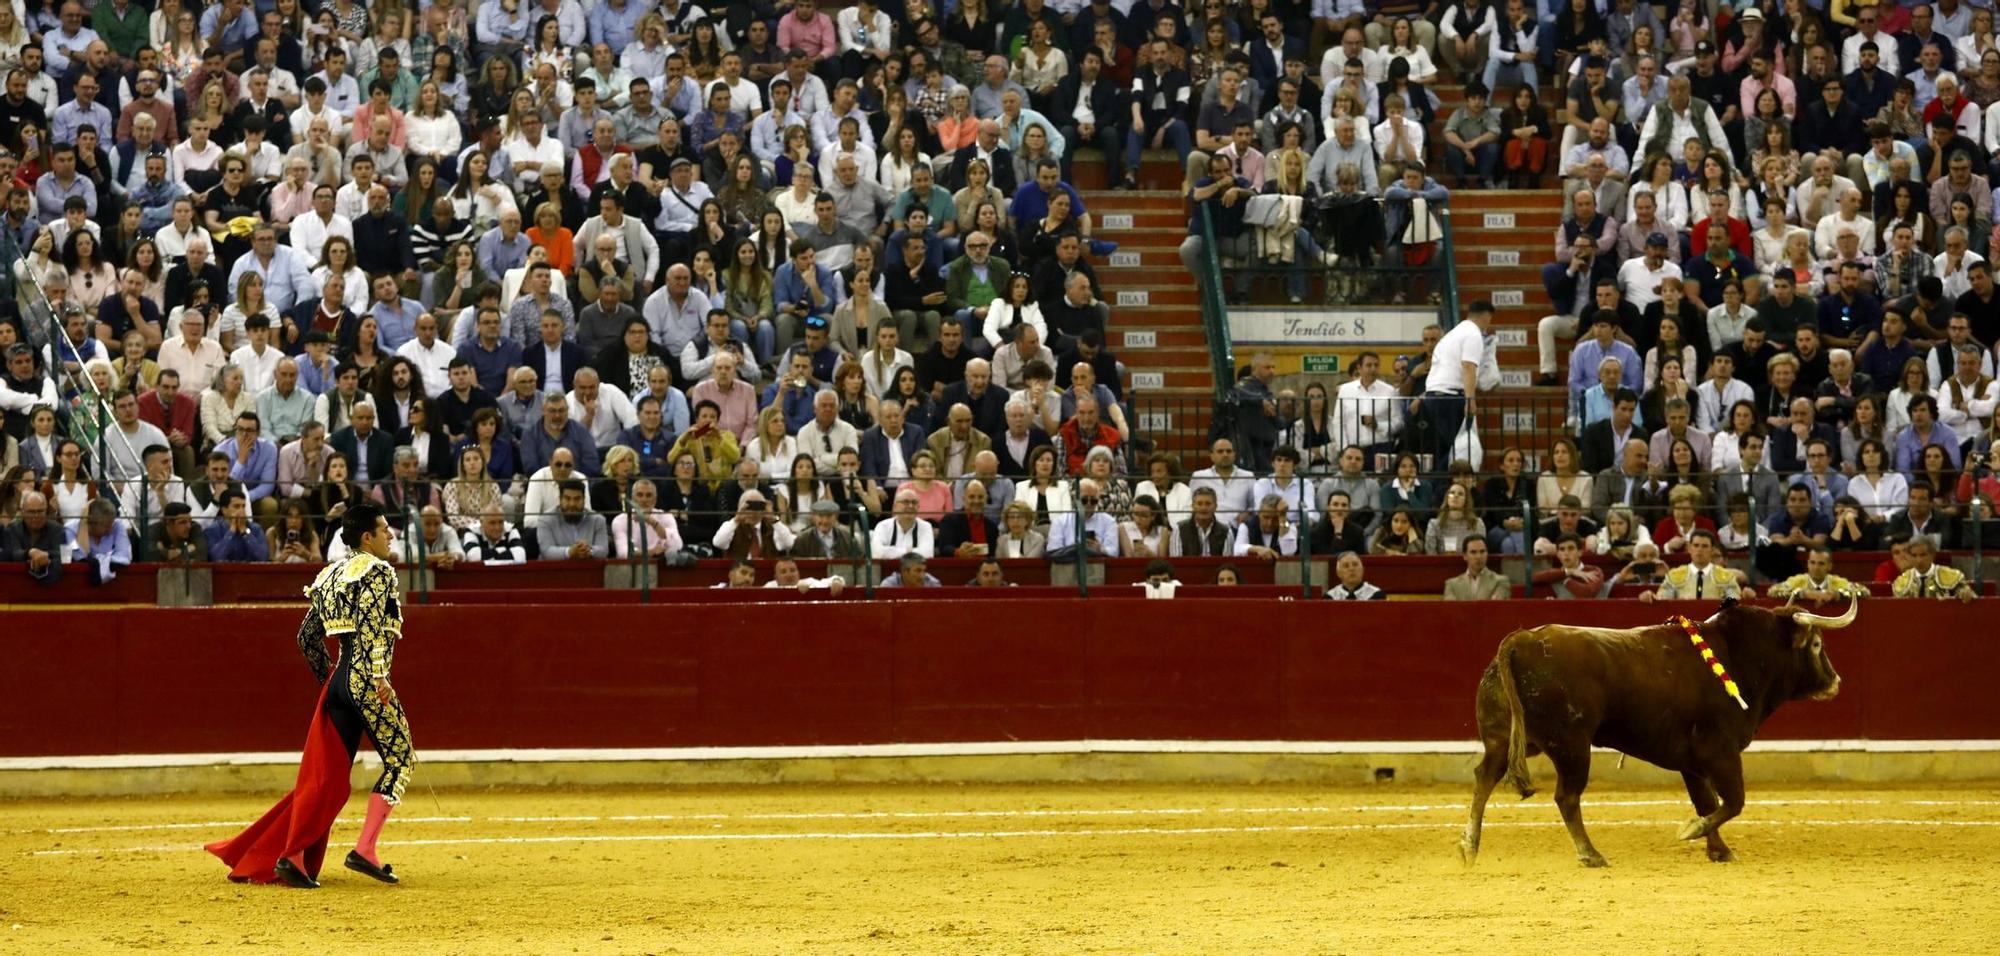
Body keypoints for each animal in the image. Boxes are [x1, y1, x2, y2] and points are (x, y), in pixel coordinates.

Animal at [1456, 600, 1856, 872]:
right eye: (1817, 645)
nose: (1836, 682)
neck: (1737, 655)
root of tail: (1521, 640)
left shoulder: (1692, 764)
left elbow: (1708, 802)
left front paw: (1719, 851)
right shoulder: (1721, 753)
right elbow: (1733, 802)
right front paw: (1691, 831)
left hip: (1505, 740)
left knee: (1484, 779)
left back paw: (1469, 847)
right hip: (1571, 745)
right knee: (1566, 796)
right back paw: (1591, 854)